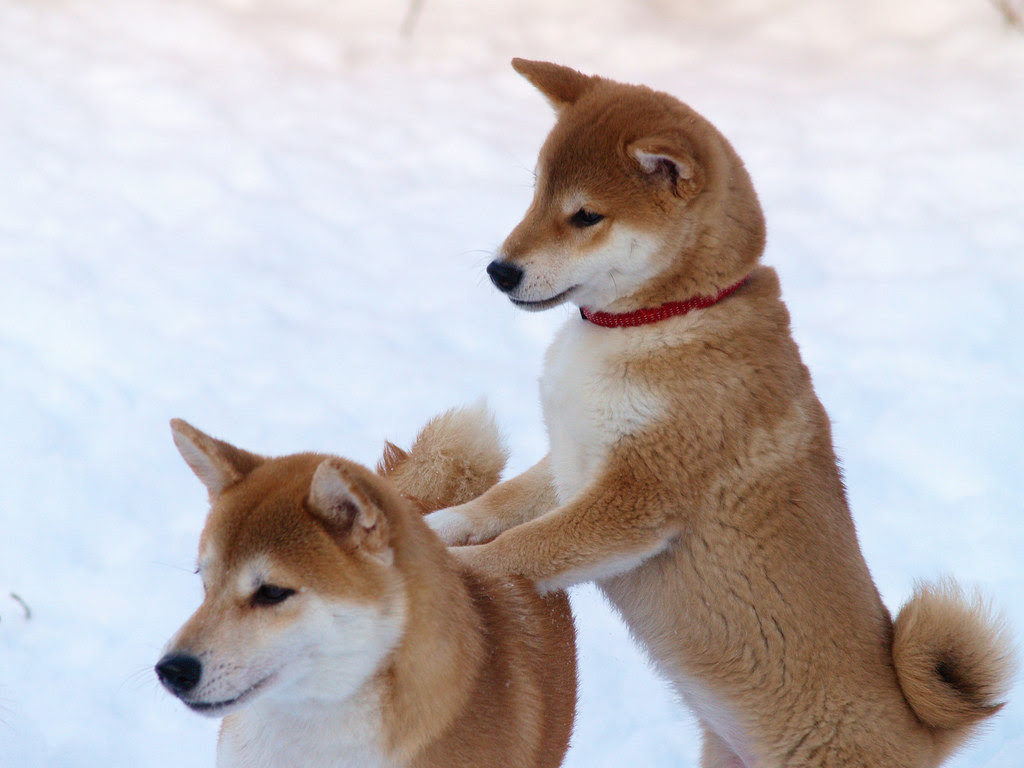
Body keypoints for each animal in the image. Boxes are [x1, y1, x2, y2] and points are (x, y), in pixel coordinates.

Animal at [428, 61, 1011, 768]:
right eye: (537, 195)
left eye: (586, 215)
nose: (499, 270)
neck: (665, 318)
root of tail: (922, 731)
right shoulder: (571, 460)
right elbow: (497, 506)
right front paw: (435, 523)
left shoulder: (638, 497)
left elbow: (517, 550)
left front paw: (452, 570)